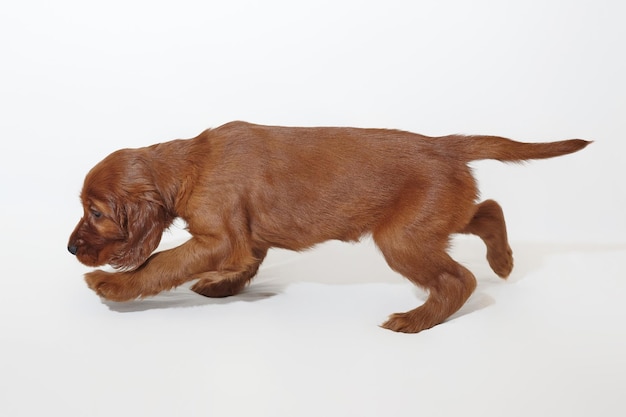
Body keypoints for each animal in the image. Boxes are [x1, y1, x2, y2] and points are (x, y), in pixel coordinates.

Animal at [68, 120, 588, 332]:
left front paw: (110, 286)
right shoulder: (245, 240)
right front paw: (221, 285)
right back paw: (503, 261)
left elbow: (160, 262)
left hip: (400, 237)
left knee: (458, 278)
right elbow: (243, 262)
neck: (190, 163)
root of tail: (445, 144)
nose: (72, 249)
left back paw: (415, 320)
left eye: (96, 212)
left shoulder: (220, 237)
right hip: (433, 220)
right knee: (488, 209)